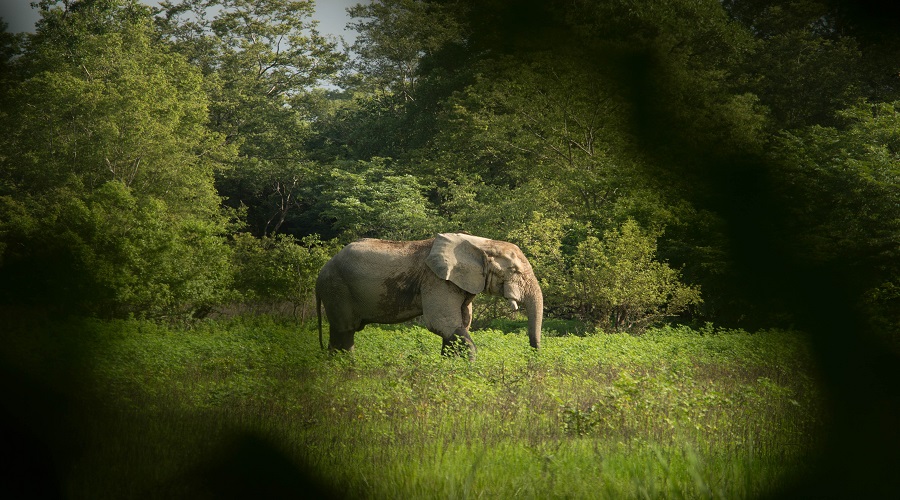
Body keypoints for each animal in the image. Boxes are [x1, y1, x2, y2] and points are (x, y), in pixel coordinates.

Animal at [314, 233, 540, 360]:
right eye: (515, 271)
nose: (533, 356)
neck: (480, 244)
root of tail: (320, 274)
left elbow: (459, 326)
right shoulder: (437, 280)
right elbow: (444, 324)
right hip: (337, 290)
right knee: (345, 331)